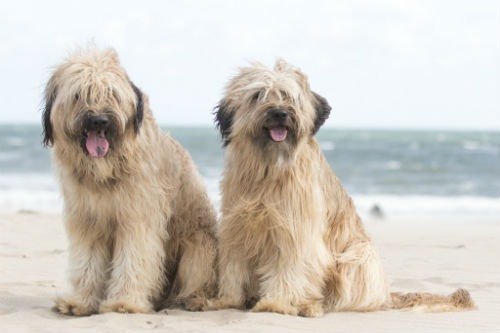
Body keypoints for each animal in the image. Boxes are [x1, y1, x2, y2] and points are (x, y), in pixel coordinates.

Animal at [44, 46, 219, 314]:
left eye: (112, 94)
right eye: (79, 94)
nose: (99, 120)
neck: (107, 169)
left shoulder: (138, 218)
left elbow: (133, 257)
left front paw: (123, 301)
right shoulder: (87, 220)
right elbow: (87, 261)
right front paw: (80, 301)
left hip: (198, 249)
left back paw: (193, 299)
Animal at [209, 59, 474, 316]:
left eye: (291, 97)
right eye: (257, 96)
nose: (280, 113)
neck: (269, 169)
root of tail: (387, 296)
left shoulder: (294, 230)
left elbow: (289, 266)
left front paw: (276, 302)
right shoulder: (237, 226)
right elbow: (233, 266)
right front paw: (227, 300)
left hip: (358, 257)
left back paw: (311, 306)